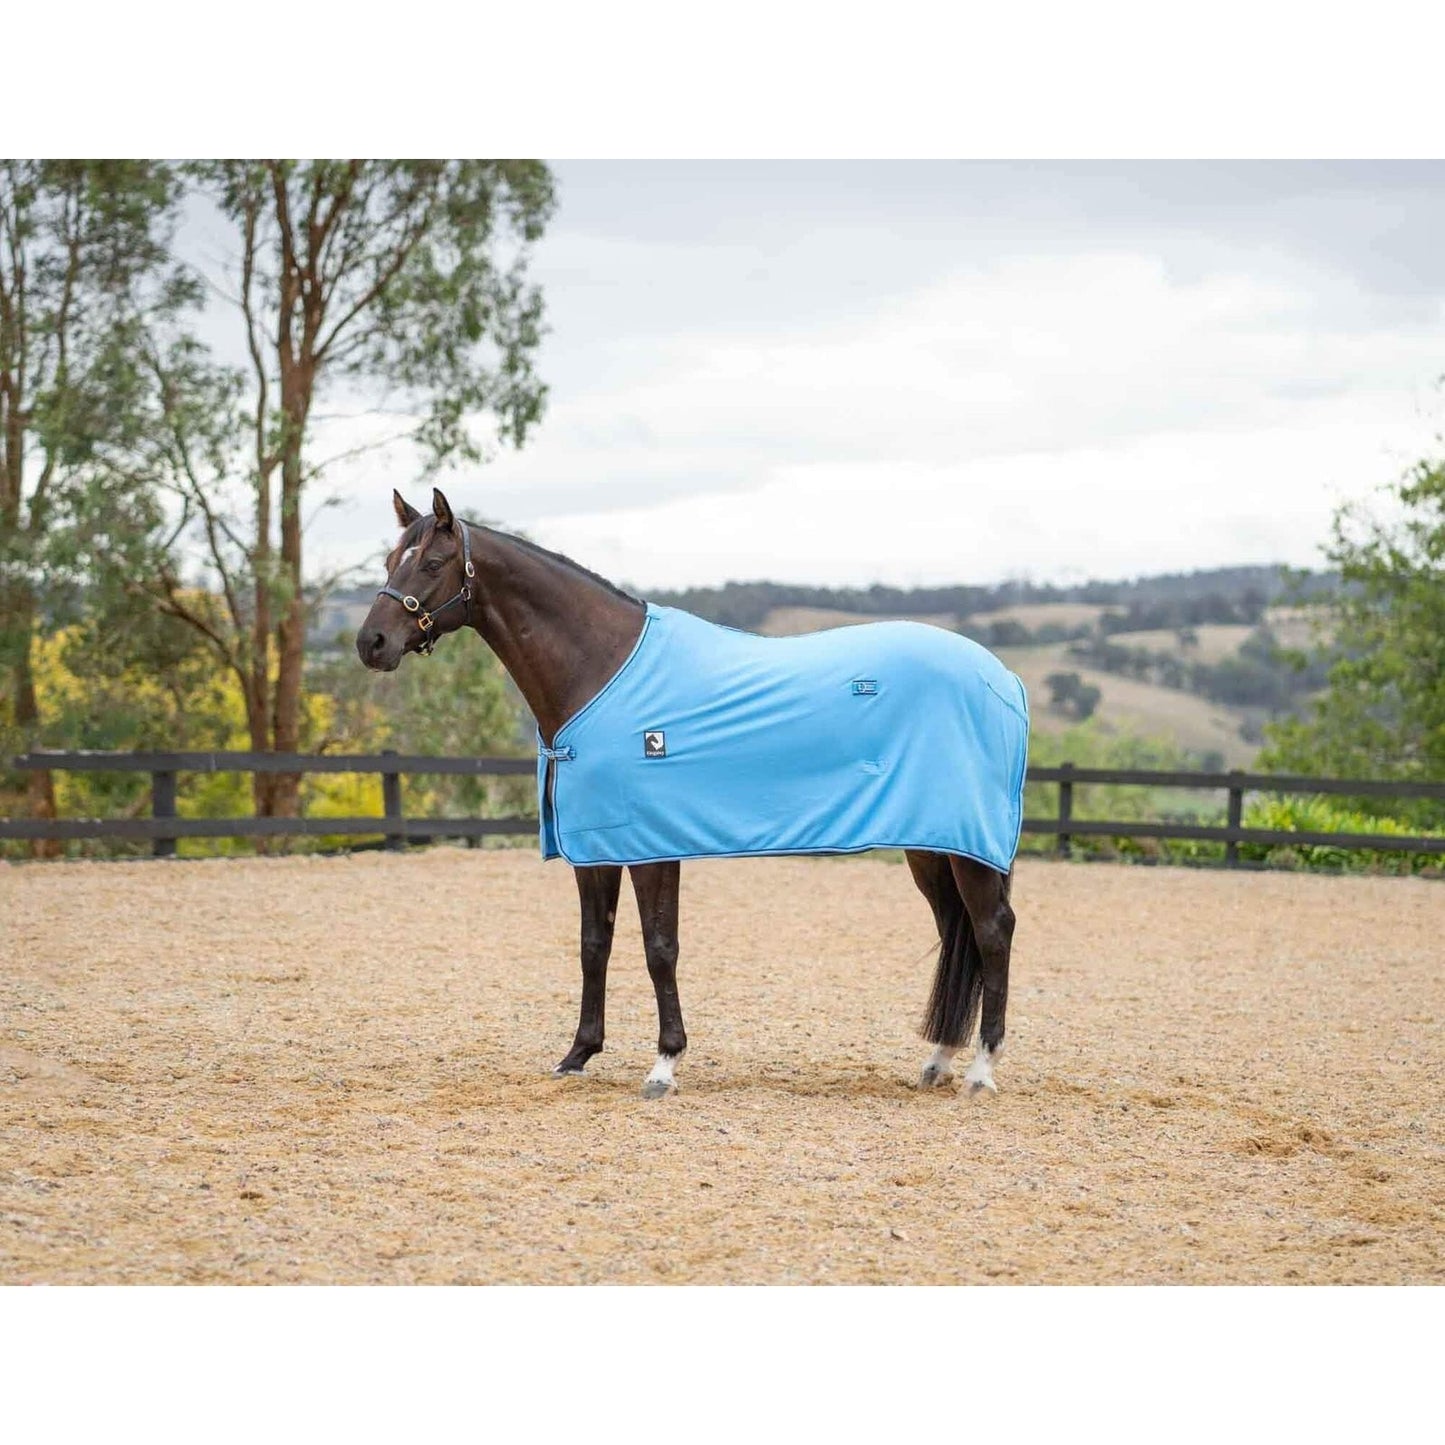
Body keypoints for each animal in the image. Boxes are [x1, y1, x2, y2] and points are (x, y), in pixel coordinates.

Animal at [356, 488, 1020, 1100]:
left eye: (433, 562)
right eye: (390, 559)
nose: (372, 643)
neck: (601, 670)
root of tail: (1004, 679)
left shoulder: (651, 846)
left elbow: (659, 948)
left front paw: (664, 1064)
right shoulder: (595, 849)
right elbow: (593, 945)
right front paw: (578, 1055)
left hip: (967, 849)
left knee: (992, 930)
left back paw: (982, 1071)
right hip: (932, 847)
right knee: (956, 930)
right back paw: (938, 1061)